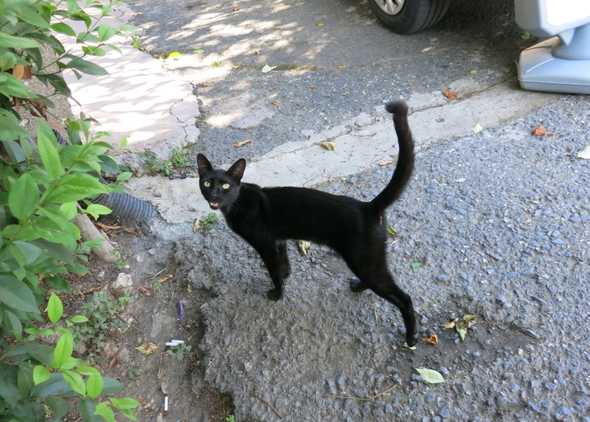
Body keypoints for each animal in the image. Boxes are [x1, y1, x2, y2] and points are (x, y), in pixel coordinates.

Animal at [200, 101, 420, 346]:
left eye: (226, 186)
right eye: (207, 183)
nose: (214, 196)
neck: (236, 203)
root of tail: (368, 206)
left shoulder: (265, 245)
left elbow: (273, 271)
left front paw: (277, 294)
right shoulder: (278, 240)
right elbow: (284, 264)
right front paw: (286, 275)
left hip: (363, 260)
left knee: (404, 298)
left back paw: (411, 338)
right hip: (370, 261)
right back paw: (358, 287)